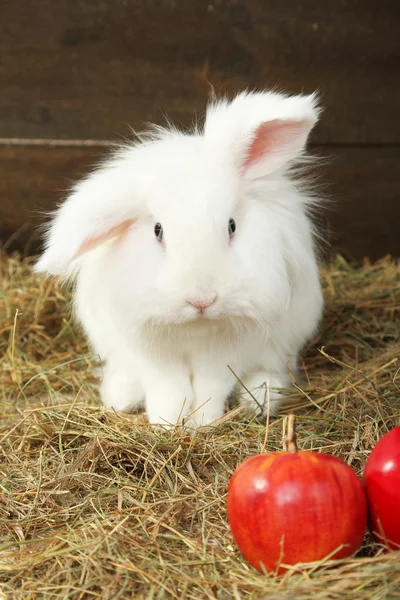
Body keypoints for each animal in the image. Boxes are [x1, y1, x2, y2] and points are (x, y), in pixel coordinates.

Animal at [35, 88, 324, 426]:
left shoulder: (230, 350)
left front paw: (203, 423)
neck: (195, 328)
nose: (202, 300)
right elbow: (168, 388)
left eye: (231, 226)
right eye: (158, 230)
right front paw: (167, 423)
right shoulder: (149, 350)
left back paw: (261, 398)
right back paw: (122, 397)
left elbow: (212, 386)